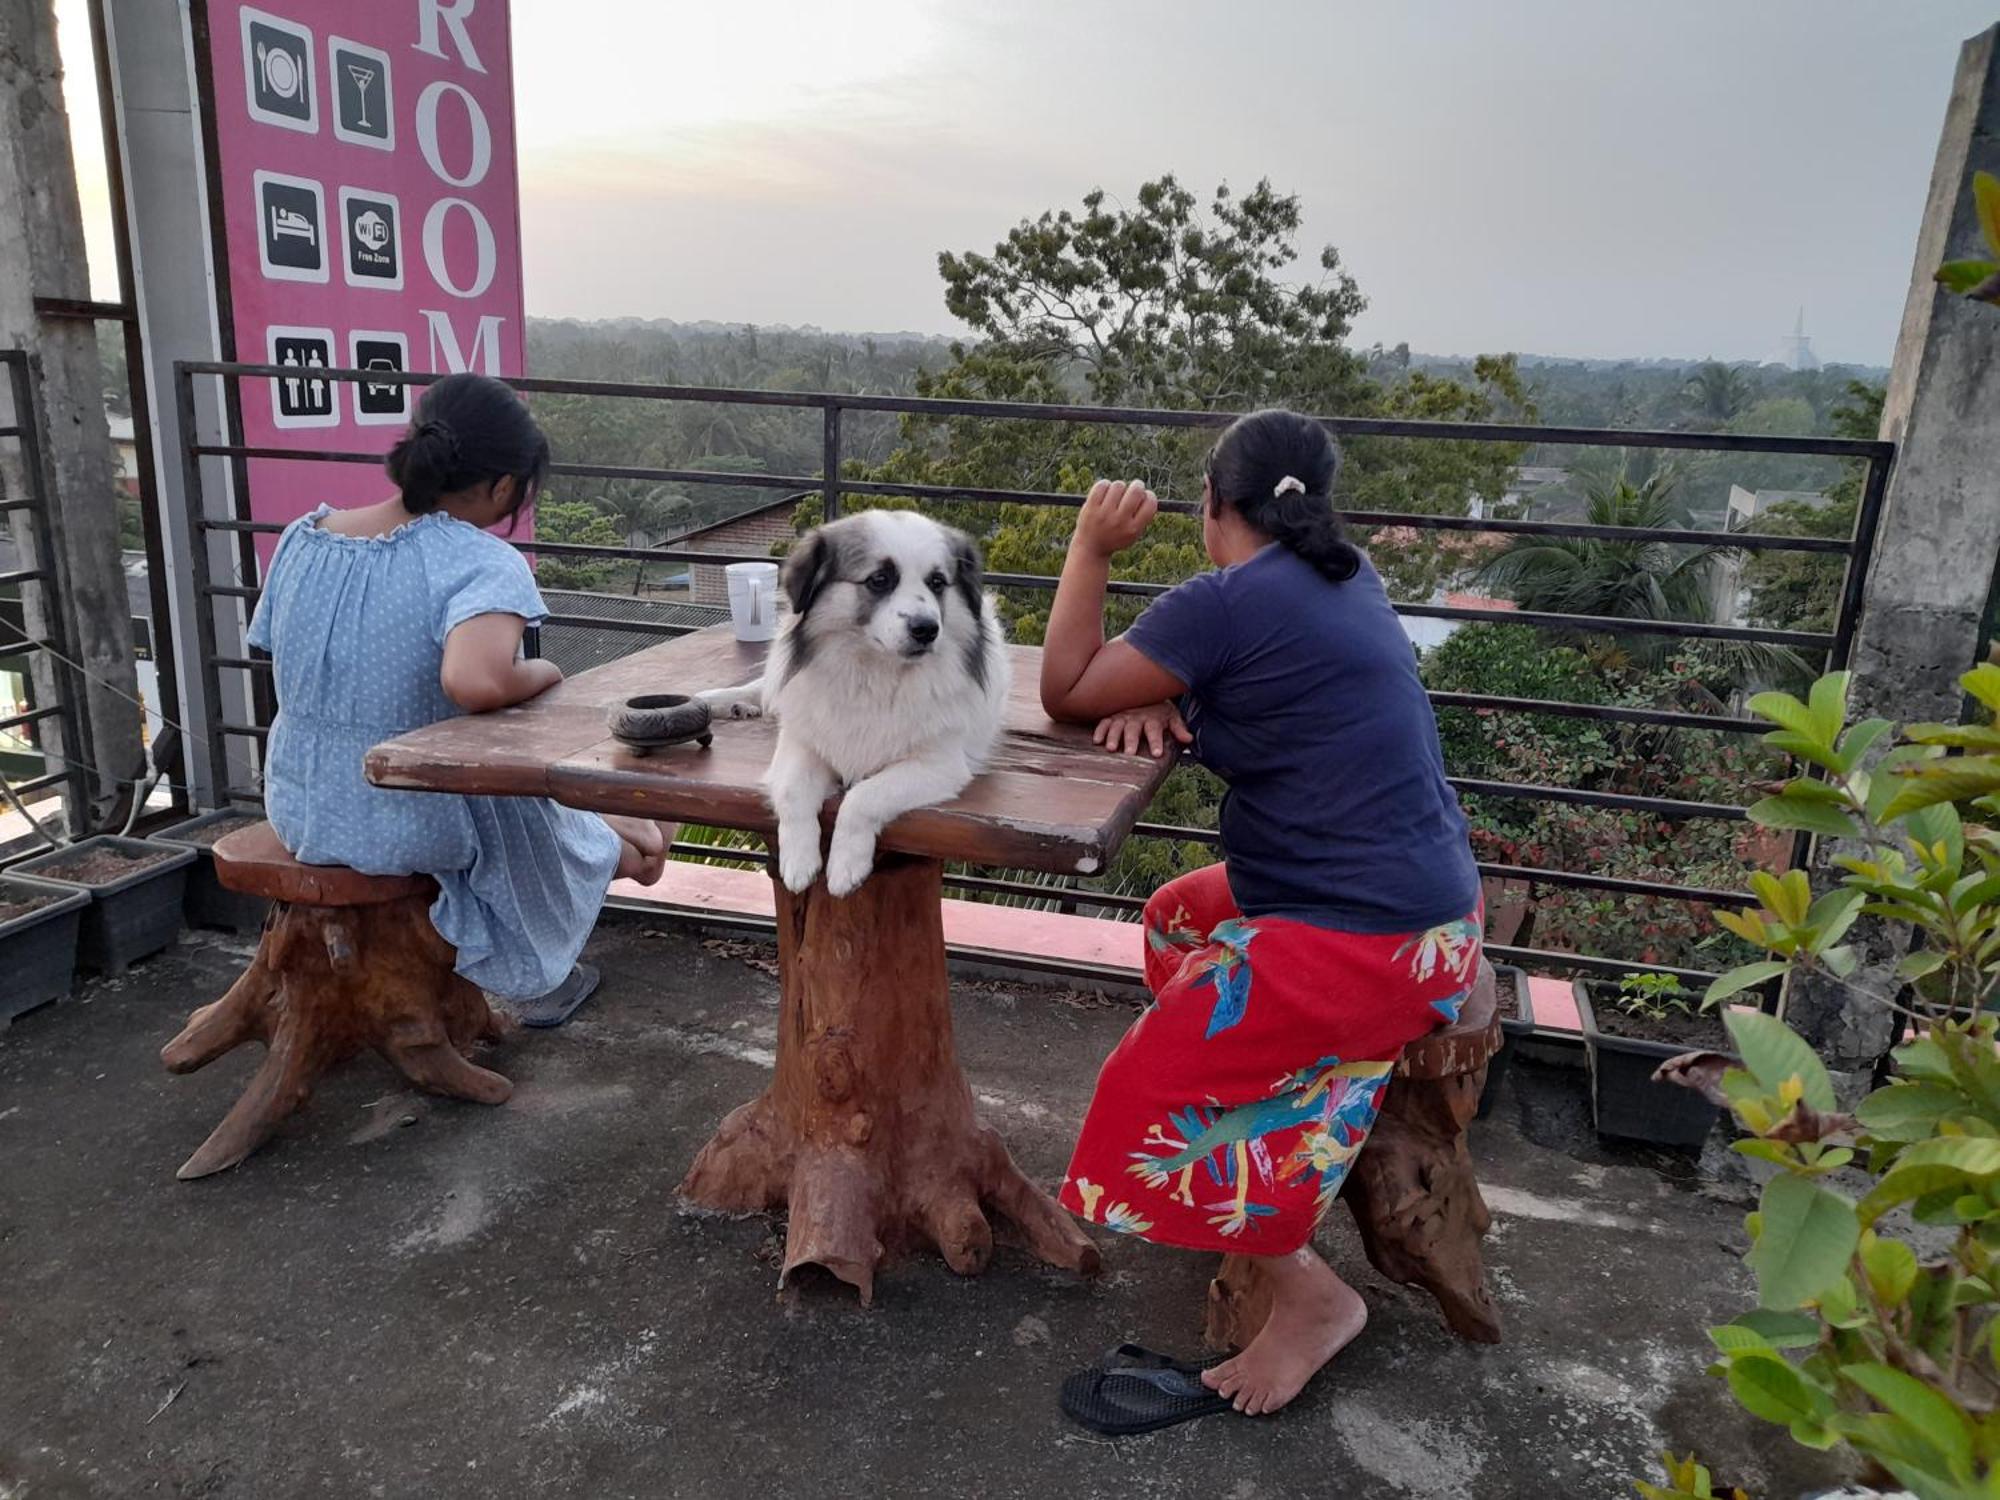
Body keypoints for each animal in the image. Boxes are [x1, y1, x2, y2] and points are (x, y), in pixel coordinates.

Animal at [704, 512, 1016, 900]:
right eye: (879, 580)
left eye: (937, 582)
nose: (927, 629)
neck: (875, 676)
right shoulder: (801, 744)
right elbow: (792, 791)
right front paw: (798, 859)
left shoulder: (939, 766)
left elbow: (862, 797)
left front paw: (845, 865)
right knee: (763, 691)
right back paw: (720, 702)